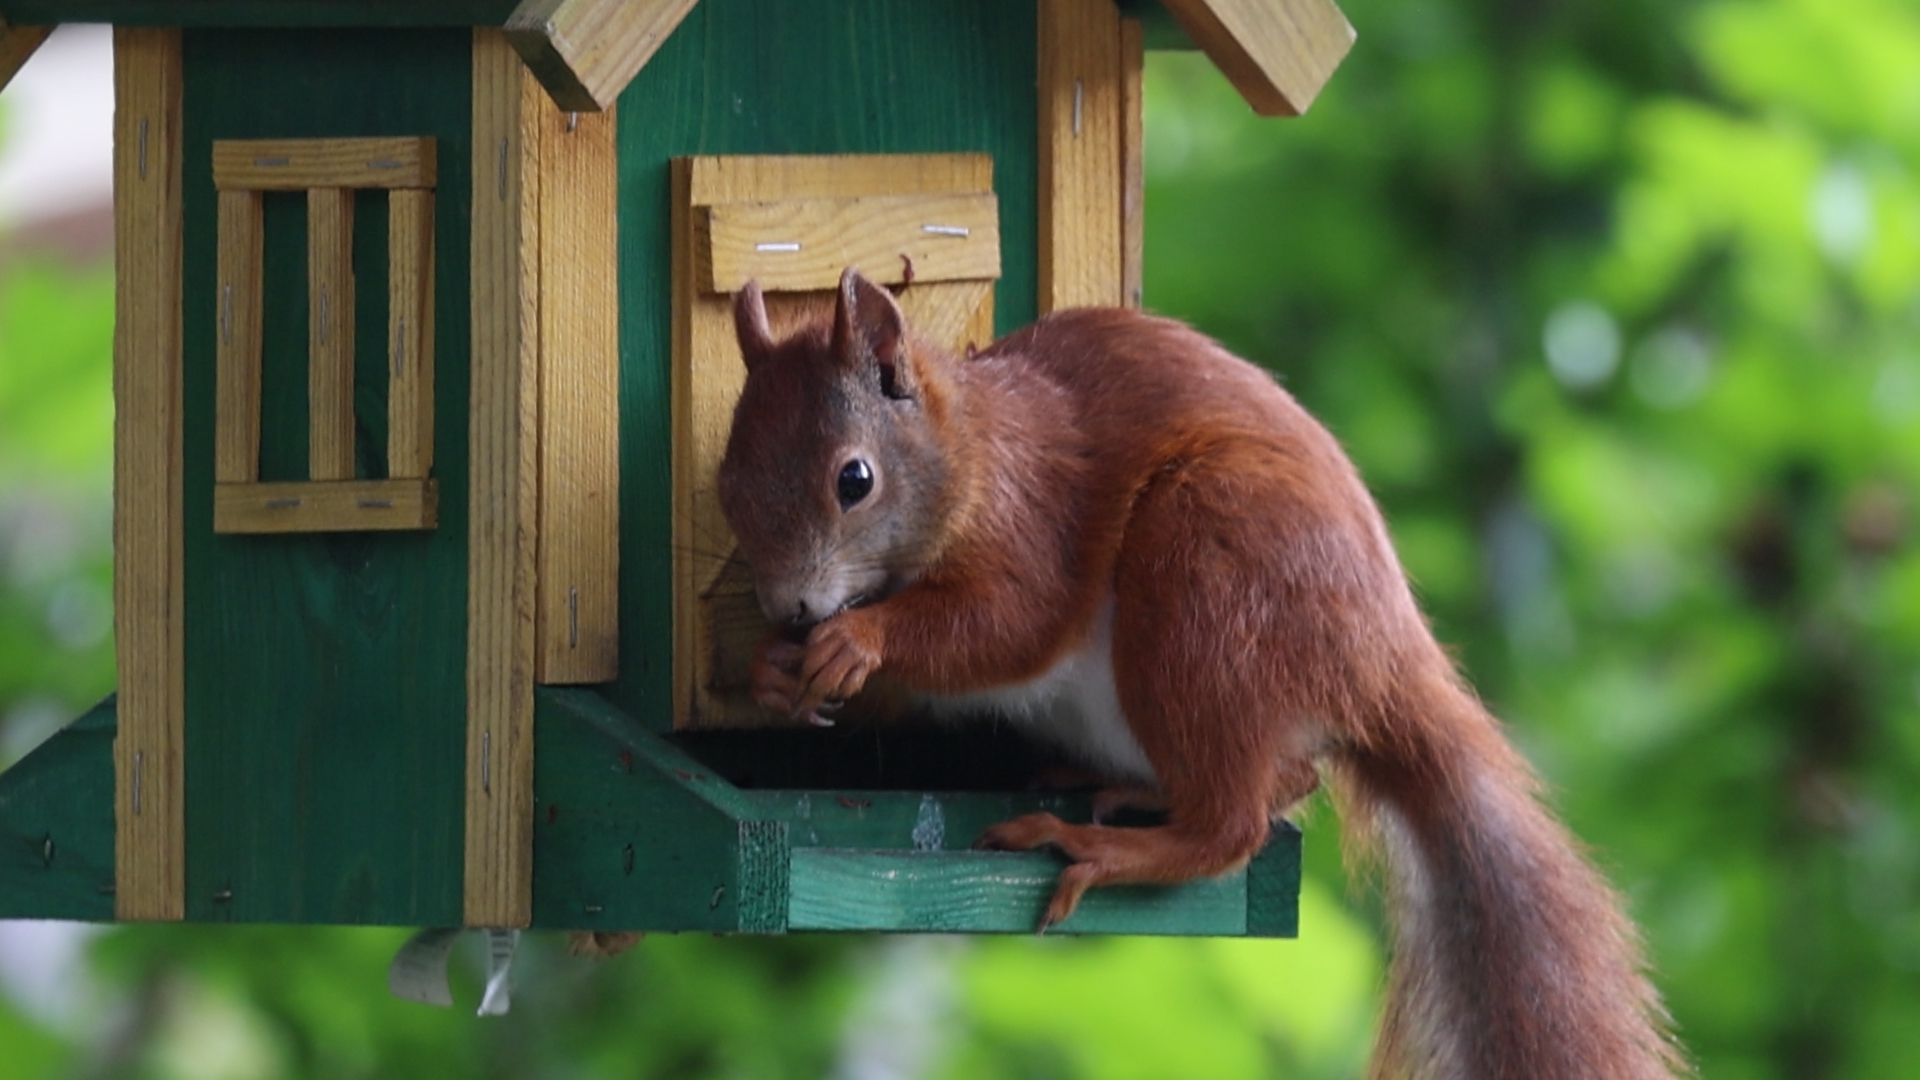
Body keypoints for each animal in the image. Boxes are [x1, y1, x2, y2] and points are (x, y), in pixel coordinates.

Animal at [718, 269, 1681, 1076]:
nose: (792, 609)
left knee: (1234, 826)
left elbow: (1008, 624)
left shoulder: (1036, 522)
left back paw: (1109, 844)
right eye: (728, 485)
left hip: (1206, 570)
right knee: (1280, 778)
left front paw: (858, 639)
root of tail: (1379, 671)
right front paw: (770, 673)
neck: (976, 449)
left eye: (854, 479)